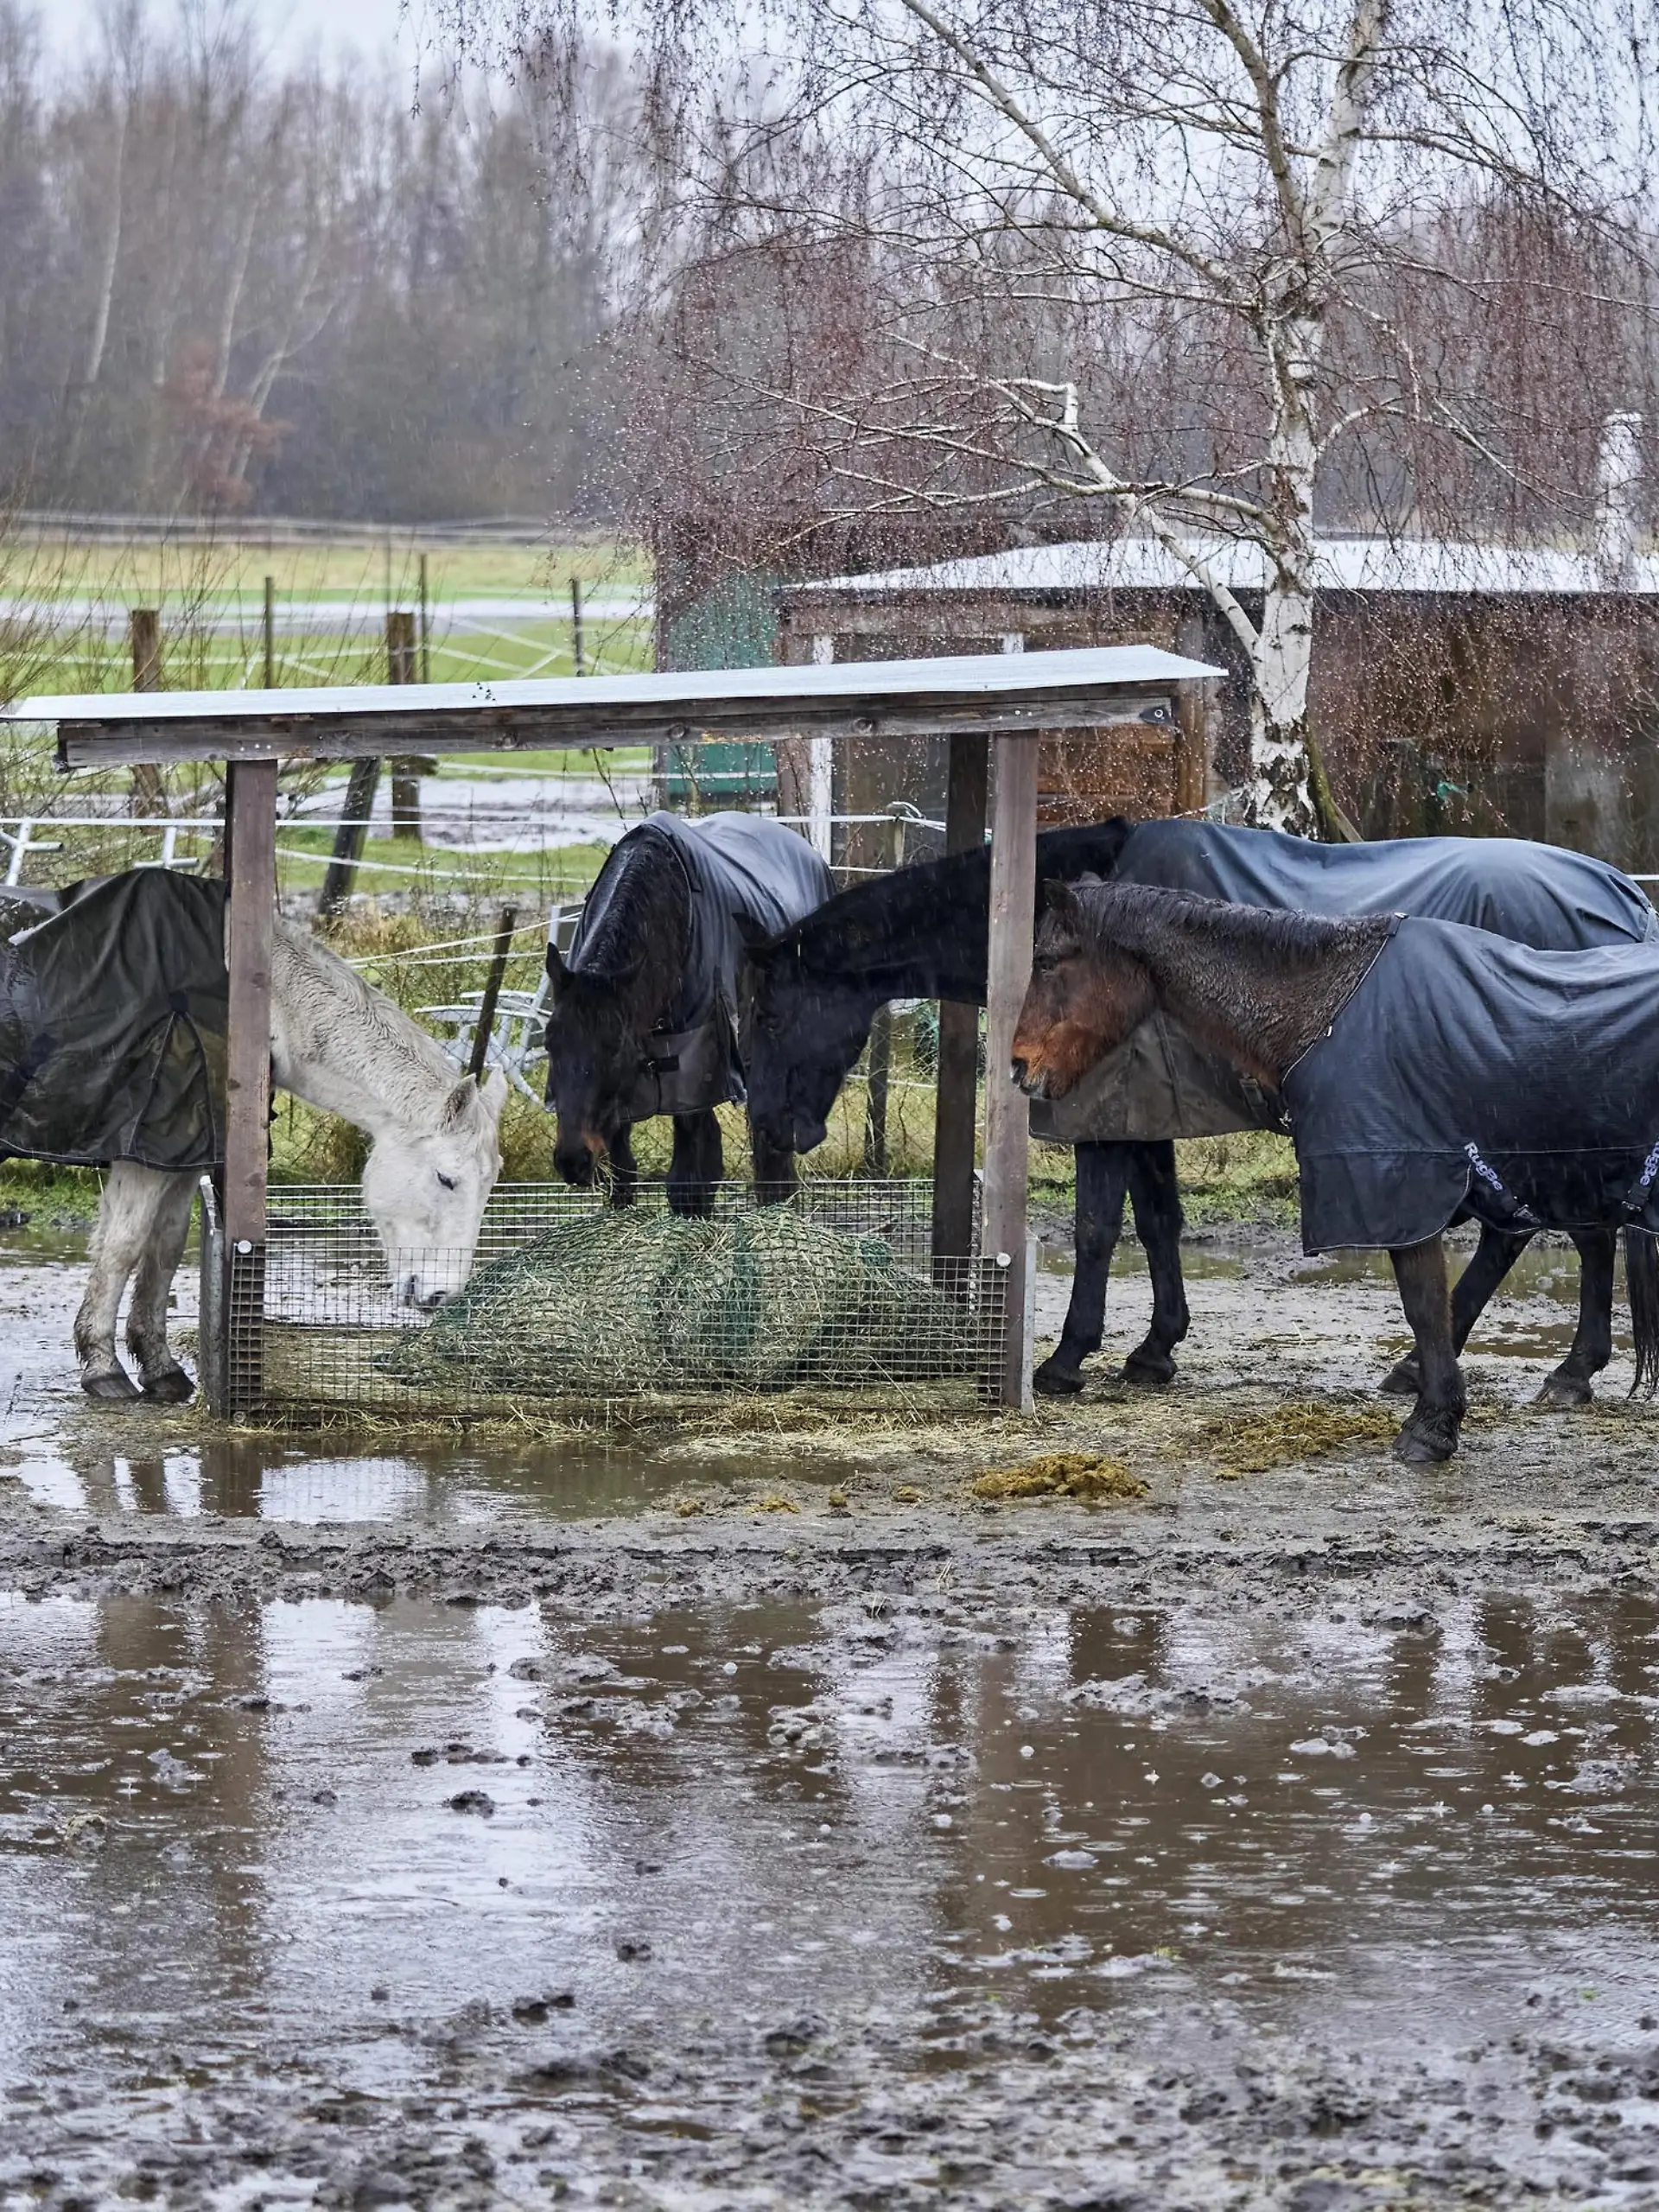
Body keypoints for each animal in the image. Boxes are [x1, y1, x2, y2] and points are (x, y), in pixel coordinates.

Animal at [65, 907, 508, 1402]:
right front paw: (103, 1367)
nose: (441, 1295)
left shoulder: (180, 1158)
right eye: (446, 1178)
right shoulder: (145, 1154)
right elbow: (122, 1247)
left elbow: (165, 1247)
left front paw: (160, 1366)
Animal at [543, 809, 832, 1215]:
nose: (573, 1160)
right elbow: (623, 1173)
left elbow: (690, 1181)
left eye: (614, 1048)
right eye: (550, 1043)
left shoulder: (693, 1079)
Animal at [741, 819, 1656, 1406]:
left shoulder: (1107, 1113)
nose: (774, 1139)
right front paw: (1154, 1349)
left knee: (1563, 1230)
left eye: (772, 1016)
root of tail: (1618, 895)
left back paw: (1558, 1370)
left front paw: (1067, 1360)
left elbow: (1100, 1230)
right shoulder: (1149, 1115)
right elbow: (1159, 1224)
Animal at [1012, 879, 1659, 1463]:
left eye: (1045, 960)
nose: (1020, 1068)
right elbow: (1154, 1223)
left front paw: (1432, 1426)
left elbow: (1423, 1304)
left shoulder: (1399, 1187)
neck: (1328, 1006)